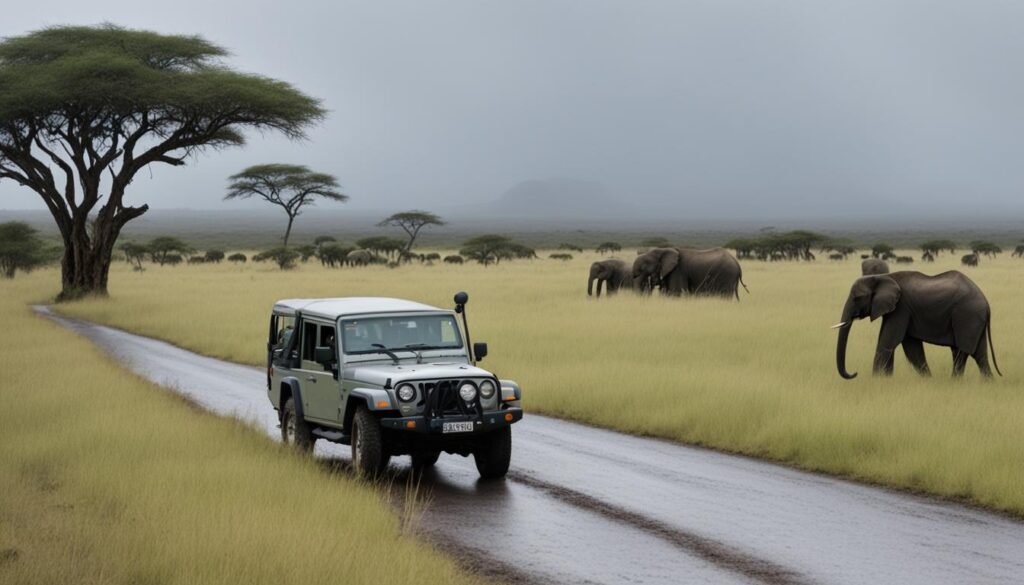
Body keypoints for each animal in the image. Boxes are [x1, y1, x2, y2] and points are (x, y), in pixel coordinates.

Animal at [831, 270, 999, 379]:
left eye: (857, 298)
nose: (855, 373)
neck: (883, 277)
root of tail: (986, 303)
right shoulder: (899, 310)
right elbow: (912, 349)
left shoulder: (901, 308)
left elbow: (888, 342)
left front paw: (876, 381)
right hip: (974, 319)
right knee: (979, 355)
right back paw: (987, 383)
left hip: (967, 316)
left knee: (961, 352)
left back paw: (955, 383)